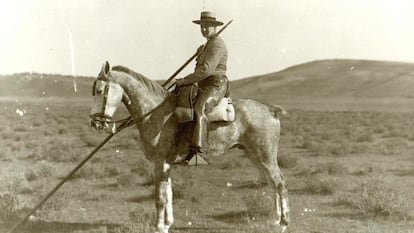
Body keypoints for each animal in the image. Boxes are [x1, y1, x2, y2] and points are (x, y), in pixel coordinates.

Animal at [89, 61, 290, 233]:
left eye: (99, 90)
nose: (95, 123)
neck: (156, 112)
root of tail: (271, 110)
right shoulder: (166, 164)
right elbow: (168, 193)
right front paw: (168, 224)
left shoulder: (160, 163)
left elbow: (160, 197)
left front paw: (159, 227)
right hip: (254, 155)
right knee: (272, 183)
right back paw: (275, 219)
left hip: (265, 156)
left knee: (280, 183)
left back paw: (283, 223)